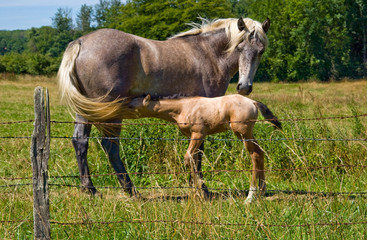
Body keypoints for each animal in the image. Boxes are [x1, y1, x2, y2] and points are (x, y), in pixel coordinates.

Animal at [129, 94, 282, 202]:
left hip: (243, 133)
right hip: (244, 134)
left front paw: (201, 193)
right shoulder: (192, 136)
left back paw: (251, 196)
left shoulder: (198, 134)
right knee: (260, 153)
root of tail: (253, 102)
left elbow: (188, 158)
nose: (123, 105)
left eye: (131, 106)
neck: (183, 108)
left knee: (255, 155)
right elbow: (195, 160)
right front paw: (198, 193)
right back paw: (262, 191)